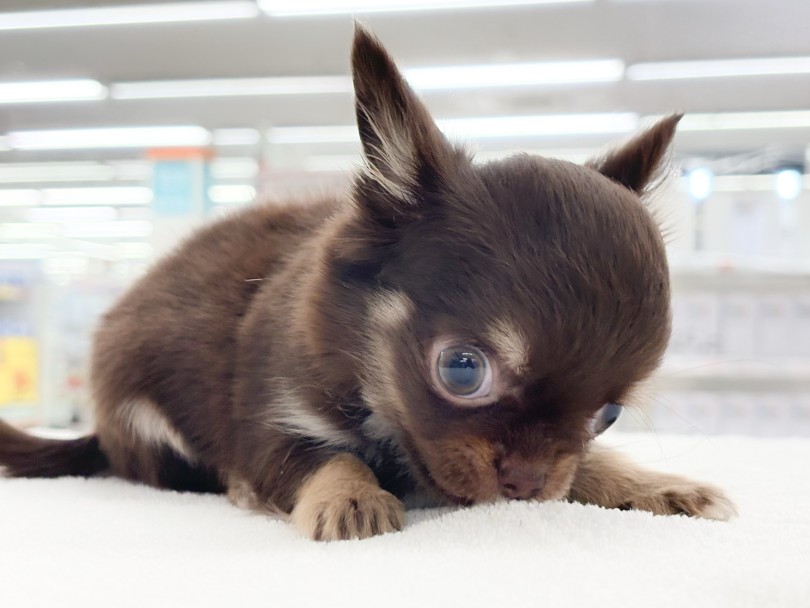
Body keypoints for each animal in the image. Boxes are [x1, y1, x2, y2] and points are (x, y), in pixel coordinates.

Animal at [0, 26, 732, 540]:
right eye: (462, 370)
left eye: (608, 416)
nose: (525, 482)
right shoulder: (270, 419)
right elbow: (319, 458)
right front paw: (349, 497)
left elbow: (586, 466)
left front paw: (657, 483)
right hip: (139, 411)